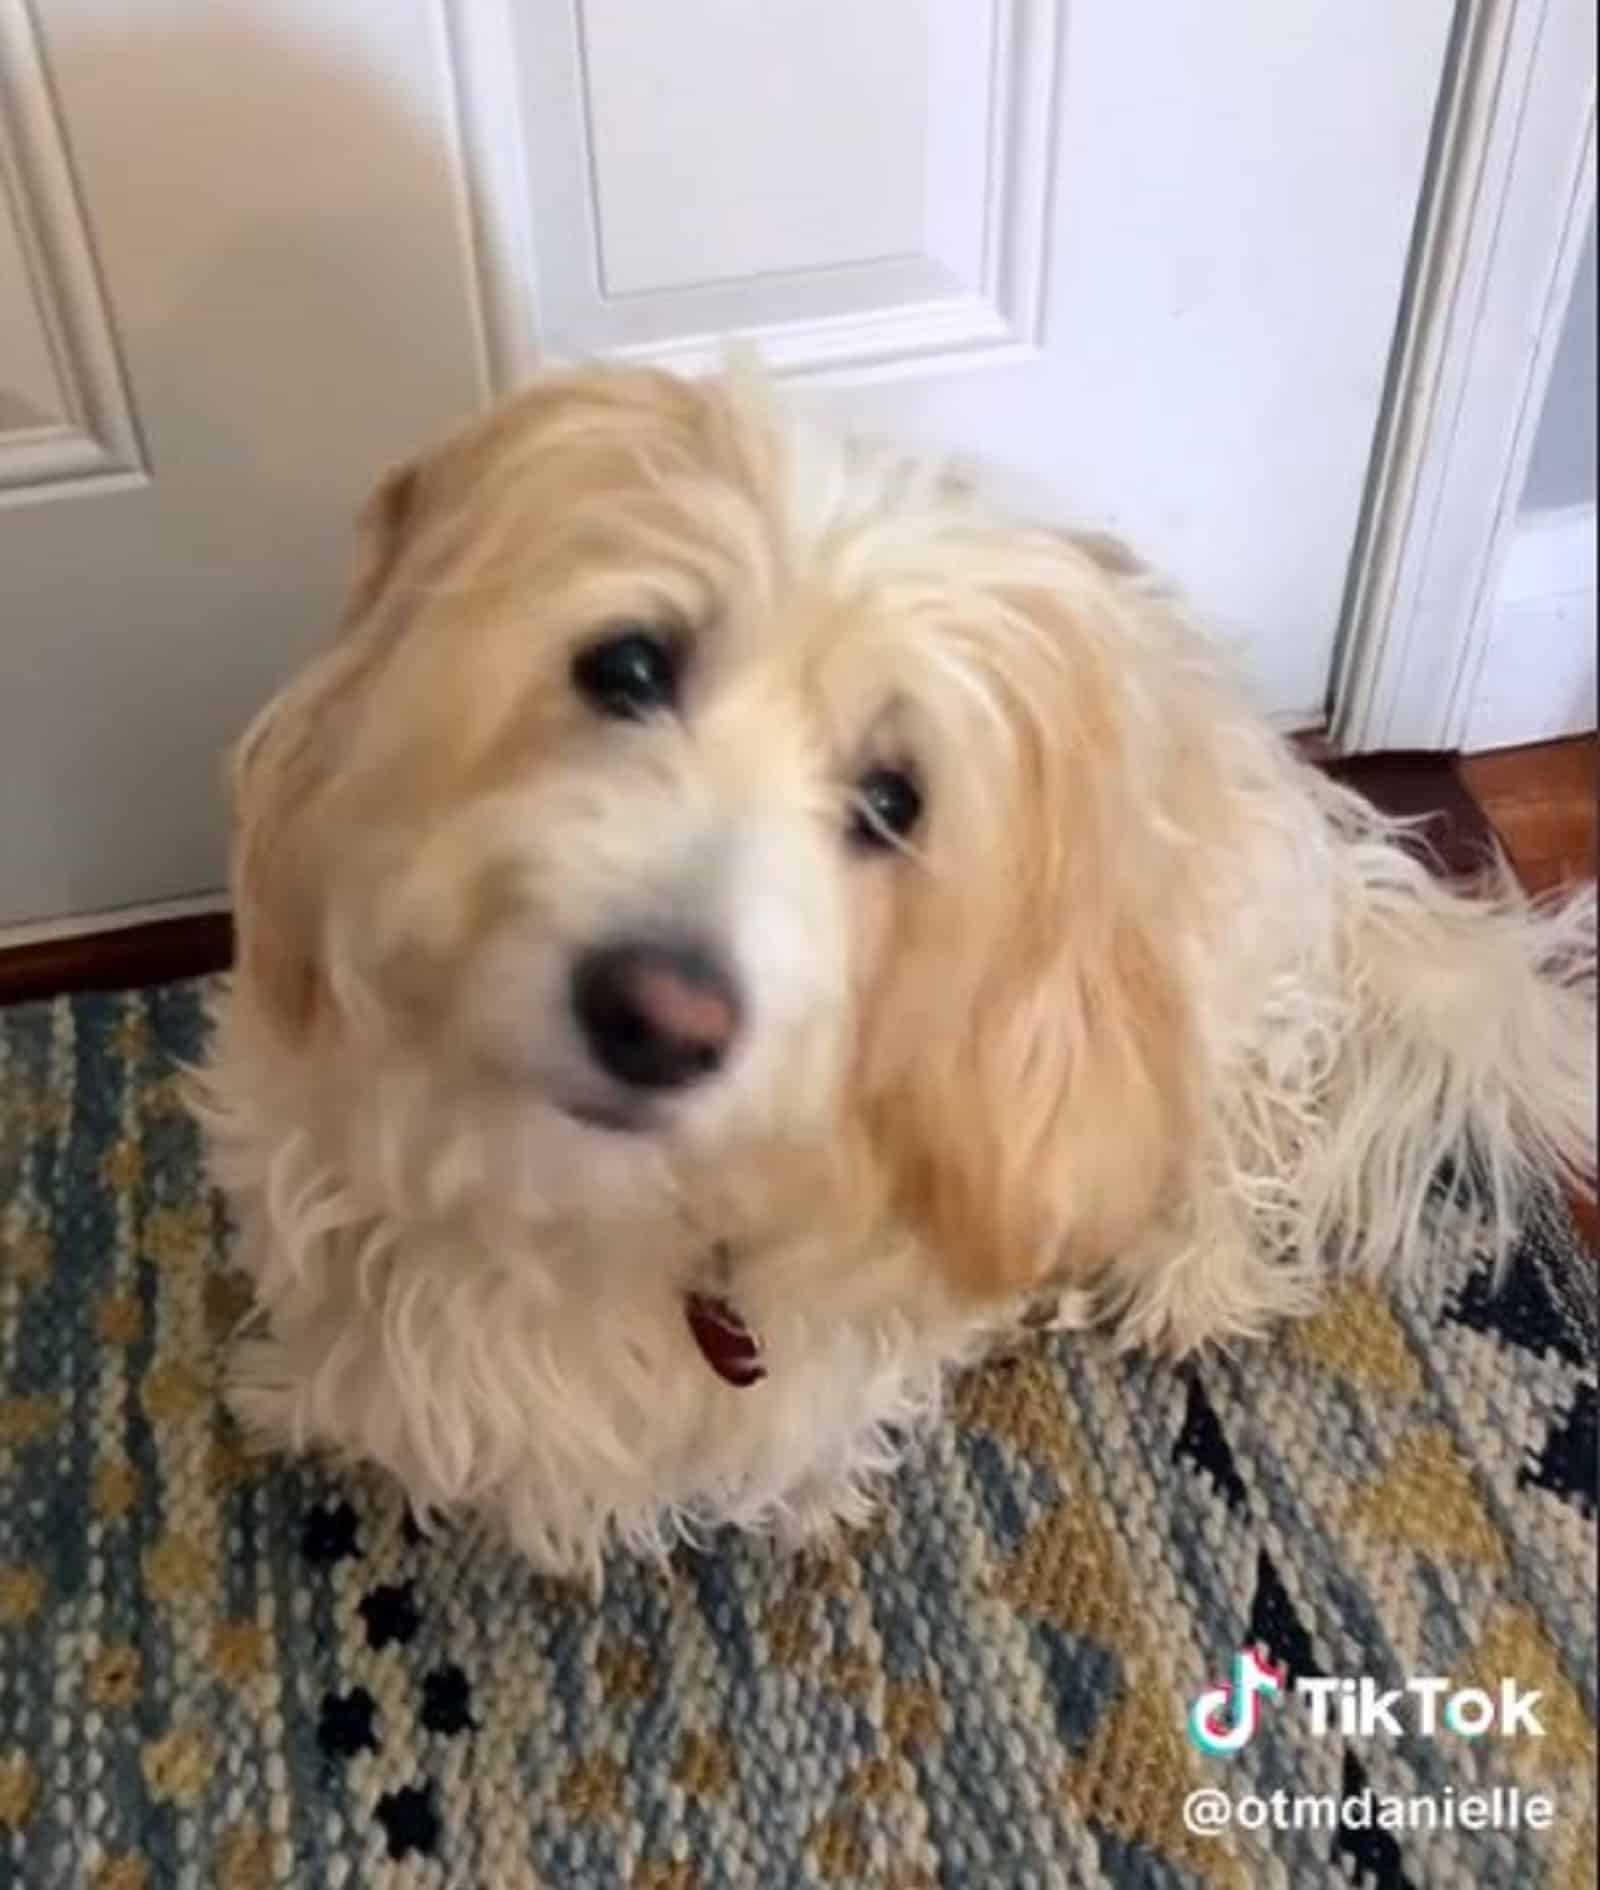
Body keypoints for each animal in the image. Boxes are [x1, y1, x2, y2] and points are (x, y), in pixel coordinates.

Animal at [193, 360, 1594, 1572]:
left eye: (893, 801)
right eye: (629, 663)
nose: (659, 1017)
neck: (595, 1206)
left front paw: (814, 1506)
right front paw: (290, 1402)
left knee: (1229, 1138)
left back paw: (1182, 1278)